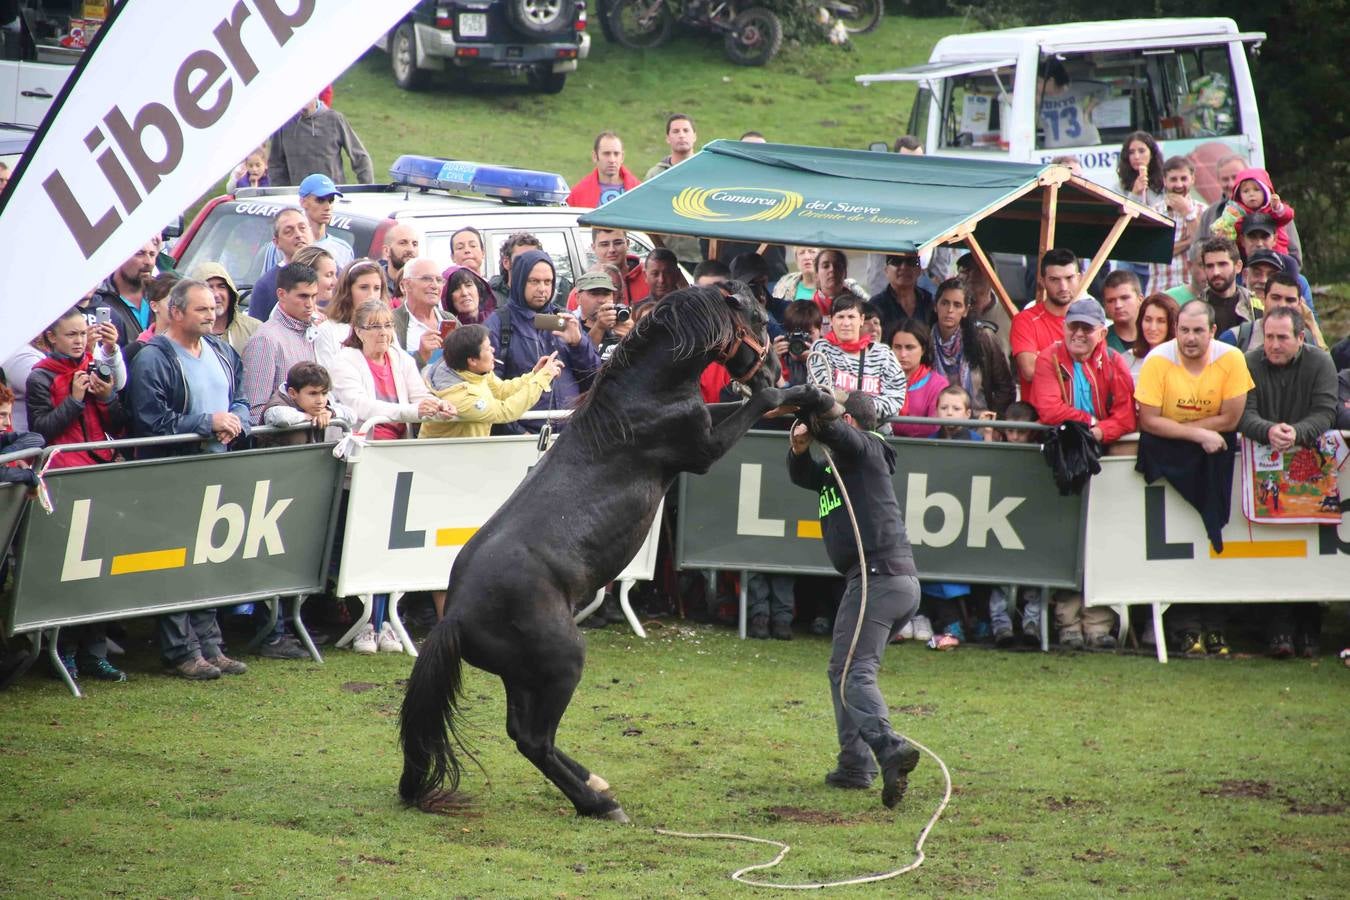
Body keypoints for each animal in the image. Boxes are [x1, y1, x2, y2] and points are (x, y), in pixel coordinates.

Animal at [394, 283, 826, 825]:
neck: (642, 396)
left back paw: (593, 782)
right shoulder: (703, 449)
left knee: (523, 733)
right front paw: (806, 393)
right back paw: (599, 803)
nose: (775, 366)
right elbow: (764, 403)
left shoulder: (705, 420)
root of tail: (454, 616)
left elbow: (743, 404)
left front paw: (809, 395)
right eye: (758, 318)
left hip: (524, 676)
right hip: (563, 663)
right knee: (534, 739)